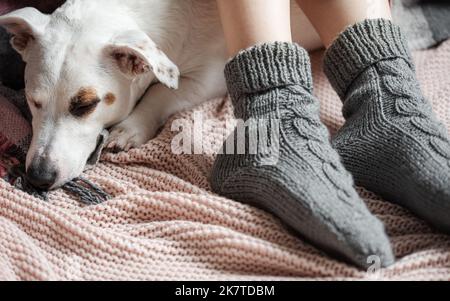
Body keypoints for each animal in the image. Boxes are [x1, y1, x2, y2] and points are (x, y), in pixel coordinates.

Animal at [0, 0, 320, 189]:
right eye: (33, 101)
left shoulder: (212, 76)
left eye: (86, 105)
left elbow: (161, 93)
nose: (38, 177)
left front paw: (130, 128)